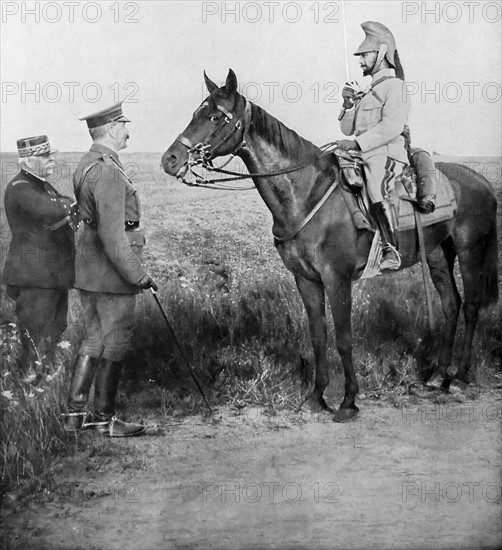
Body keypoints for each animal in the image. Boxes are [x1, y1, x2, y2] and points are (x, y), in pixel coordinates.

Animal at [163, 69, 500, 422]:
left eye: (215, 116)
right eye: (195, 113)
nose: (170, 159)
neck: (305, 193)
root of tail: (483, 182)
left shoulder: (337, 279)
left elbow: (344, 339)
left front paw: (349, 401)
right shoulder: (306, 280)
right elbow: (318, 336)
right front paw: (316, 397)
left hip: (470, 250)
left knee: (472, 304)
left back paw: (460, 378)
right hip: (437, 254)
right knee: (451, 304)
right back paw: (438, 375)